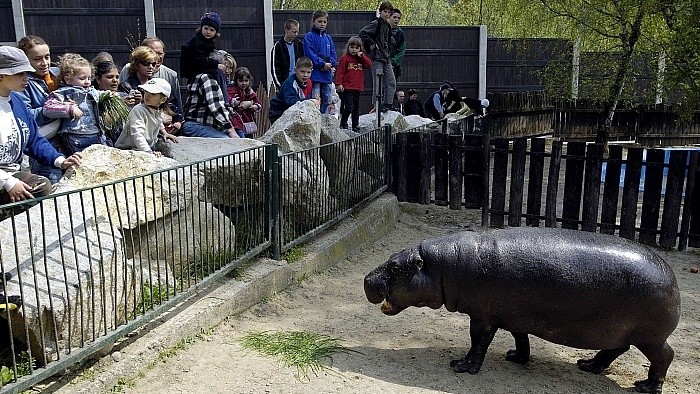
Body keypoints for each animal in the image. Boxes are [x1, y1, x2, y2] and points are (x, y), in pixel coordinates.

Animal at [364, 228, 680, 394]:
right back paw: (588, 365)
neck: (441, 266)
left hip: (650, 337)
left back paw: (646, 387)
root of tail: (673, 280)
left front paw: (461, 366)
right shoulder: (514, 315)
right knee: (617, 349)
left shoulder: (482, 317)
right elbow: (520, 337)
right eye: (391, 259)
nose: (366, 280)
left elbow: (477, 341)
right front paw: (516, 357)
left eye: (395, 268)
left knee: (664, 356)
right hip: (622, 332)